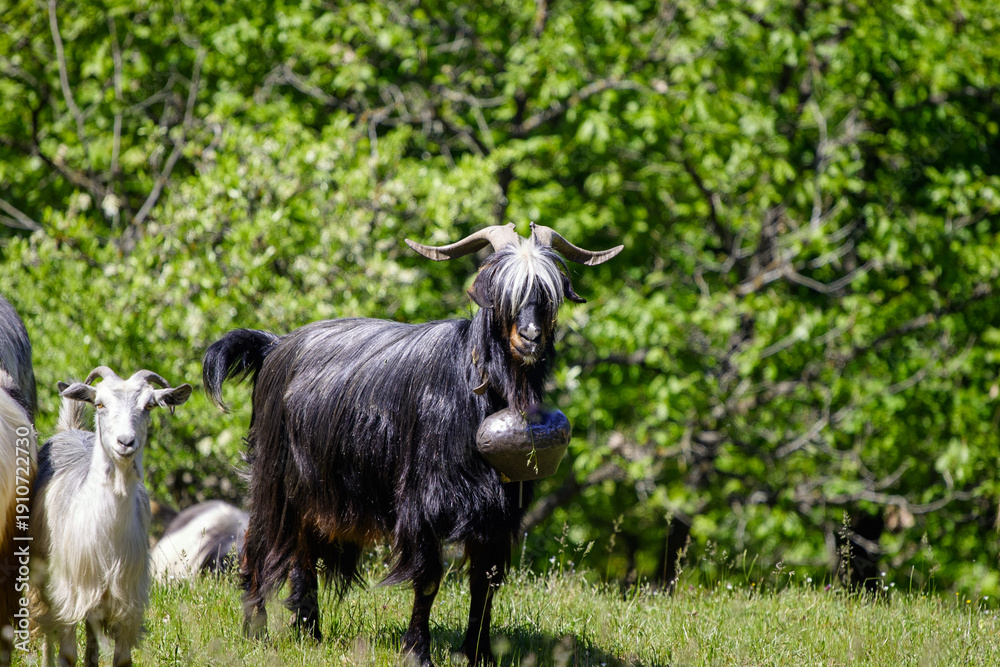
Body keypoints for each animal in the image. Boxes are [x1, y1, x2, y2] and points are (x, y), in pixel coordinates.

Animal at [30, 367, 191, 667]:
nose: (125, 442)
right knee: (47, 628)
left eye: (149, 405)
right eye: (100, 404)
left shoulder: (127, 602)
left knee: (91, 640)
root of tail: (70, 430)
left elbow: (122, 658)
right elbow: (67, 654)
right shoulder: (70, 593)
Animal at [203, 223, 621, 665]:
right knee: (257, 543)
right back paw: (256, 631)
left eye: (548, 293)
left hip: (316, 489)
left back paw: (309, 631)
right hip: (275, 476)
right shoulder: (422, 502)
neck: (472, 383)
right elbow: (429, 579)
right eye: (499, 291)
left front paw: (479, 654)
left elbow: (484, 583)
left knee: (304, 551)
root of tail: (273, 346)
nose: (529, 337)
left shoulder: (496, 511)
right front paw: (417, 652)